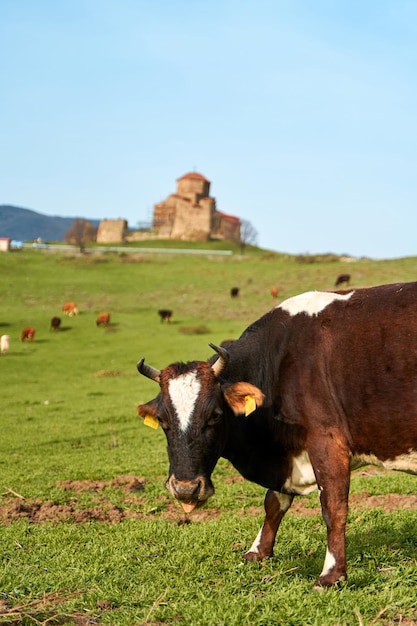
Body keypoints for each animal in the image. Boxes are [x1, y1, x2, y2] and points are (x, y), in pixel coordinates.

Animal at [136, 282, 416, 584]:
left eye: (215, 415)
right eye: (162, 420)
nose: (185, 488)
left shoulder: (328, 440)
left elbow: (333, 506)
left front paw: (331, 574)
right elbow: (274, 502)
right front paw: (257, 551)